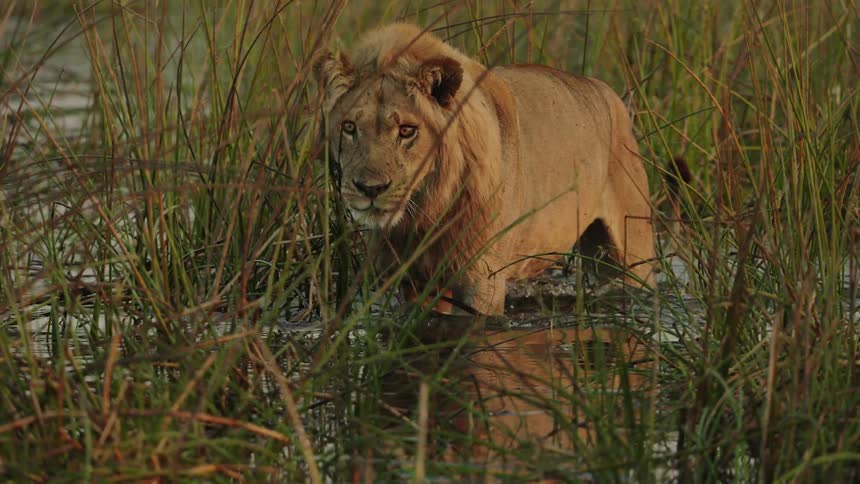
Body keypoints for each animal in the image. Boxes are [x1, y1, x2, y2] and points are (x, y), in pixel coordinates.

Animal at [316, 23, 655, 315]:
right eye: (349, 127)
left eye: (407, 131)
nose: (370, 189)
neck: (426, 209)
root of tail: (610, 94)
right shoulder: (415, 282)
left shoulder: (482, 280)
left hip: (632, 254)